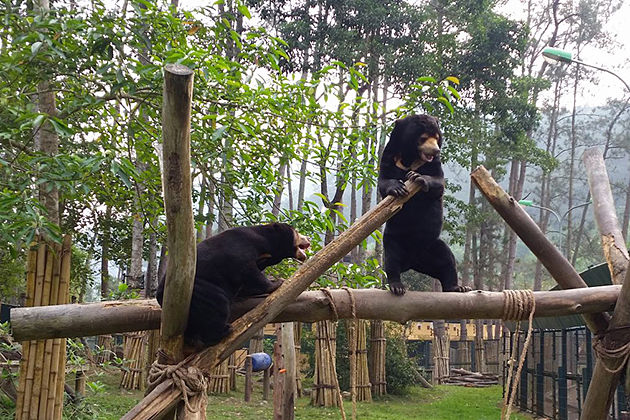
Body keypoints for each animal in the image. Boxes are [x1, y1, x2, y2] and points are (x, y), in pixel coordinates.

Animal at [158, 221, 312, 350]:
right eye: (297, 232)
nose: (309, 239)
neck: (266, 247)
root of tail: (160, 295)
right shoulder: (240, 250)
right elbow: (248, 270)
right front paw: (277, 283)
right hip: (203, 289)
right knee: (217, 306)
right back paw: (224, 331)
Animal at [376, 113, 474, 294]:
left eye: (437, 138)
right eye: (423, 138)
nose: (435, 150)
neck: (411, 157)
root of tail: (413, 262)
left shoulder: (434, 163)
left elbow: (438, 182)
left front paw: (417, 177)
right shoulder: (390, 155)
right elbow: (384, 180)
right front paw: (398, 188)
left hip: (434, 245)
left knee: (448, 261)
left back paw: (458, 287)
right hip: (393, 239)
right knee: (391, 261)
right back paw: (397, 286)